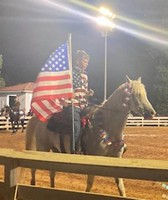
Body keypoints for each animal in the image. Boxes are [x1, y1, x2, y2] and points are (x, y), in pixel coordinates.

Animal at [21, 76, 156, 197]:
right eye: (135, 94)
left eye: (145, 93)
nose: (152, 113)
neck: (107, 127)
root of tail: (40, 117)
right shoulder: (93, 160)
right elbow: (90, 185)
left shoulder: (116, 158)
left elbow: (121, 186)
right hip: (42, 148)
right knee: (34, 168)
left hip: (55, 150)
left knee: (52, 172)